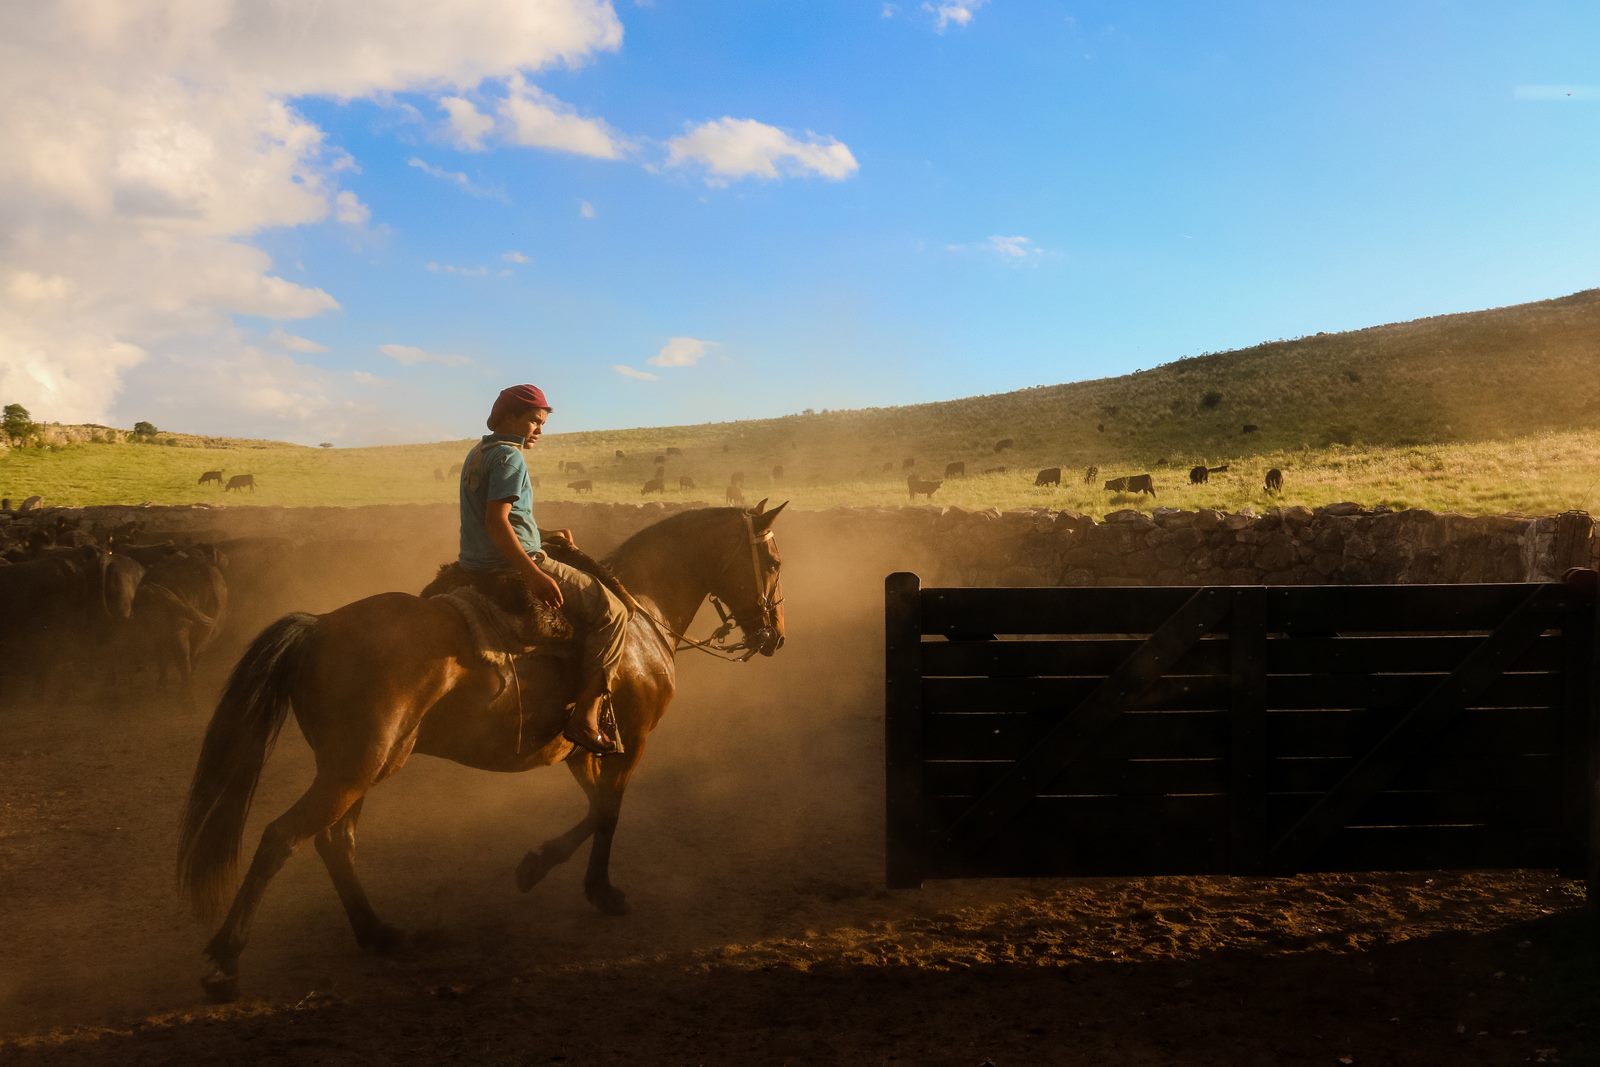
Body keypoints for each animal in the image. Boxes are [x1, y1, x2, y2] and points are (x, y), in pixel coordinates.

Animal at [175, 502, 787, 1004]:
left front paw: (539, 865)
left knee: (334, 840)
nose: (775, 637)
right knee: (282, 837)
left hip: (364, 766)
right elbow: (609, 813)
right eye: (774, 560)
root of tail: (319, 625)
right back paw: (226, 963)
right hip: (353, 767)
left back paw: (378, 933)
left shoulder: (582, 748)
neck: (640, 616)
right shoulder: (631, 741)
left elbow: (594, 809)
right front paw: (598, 889)